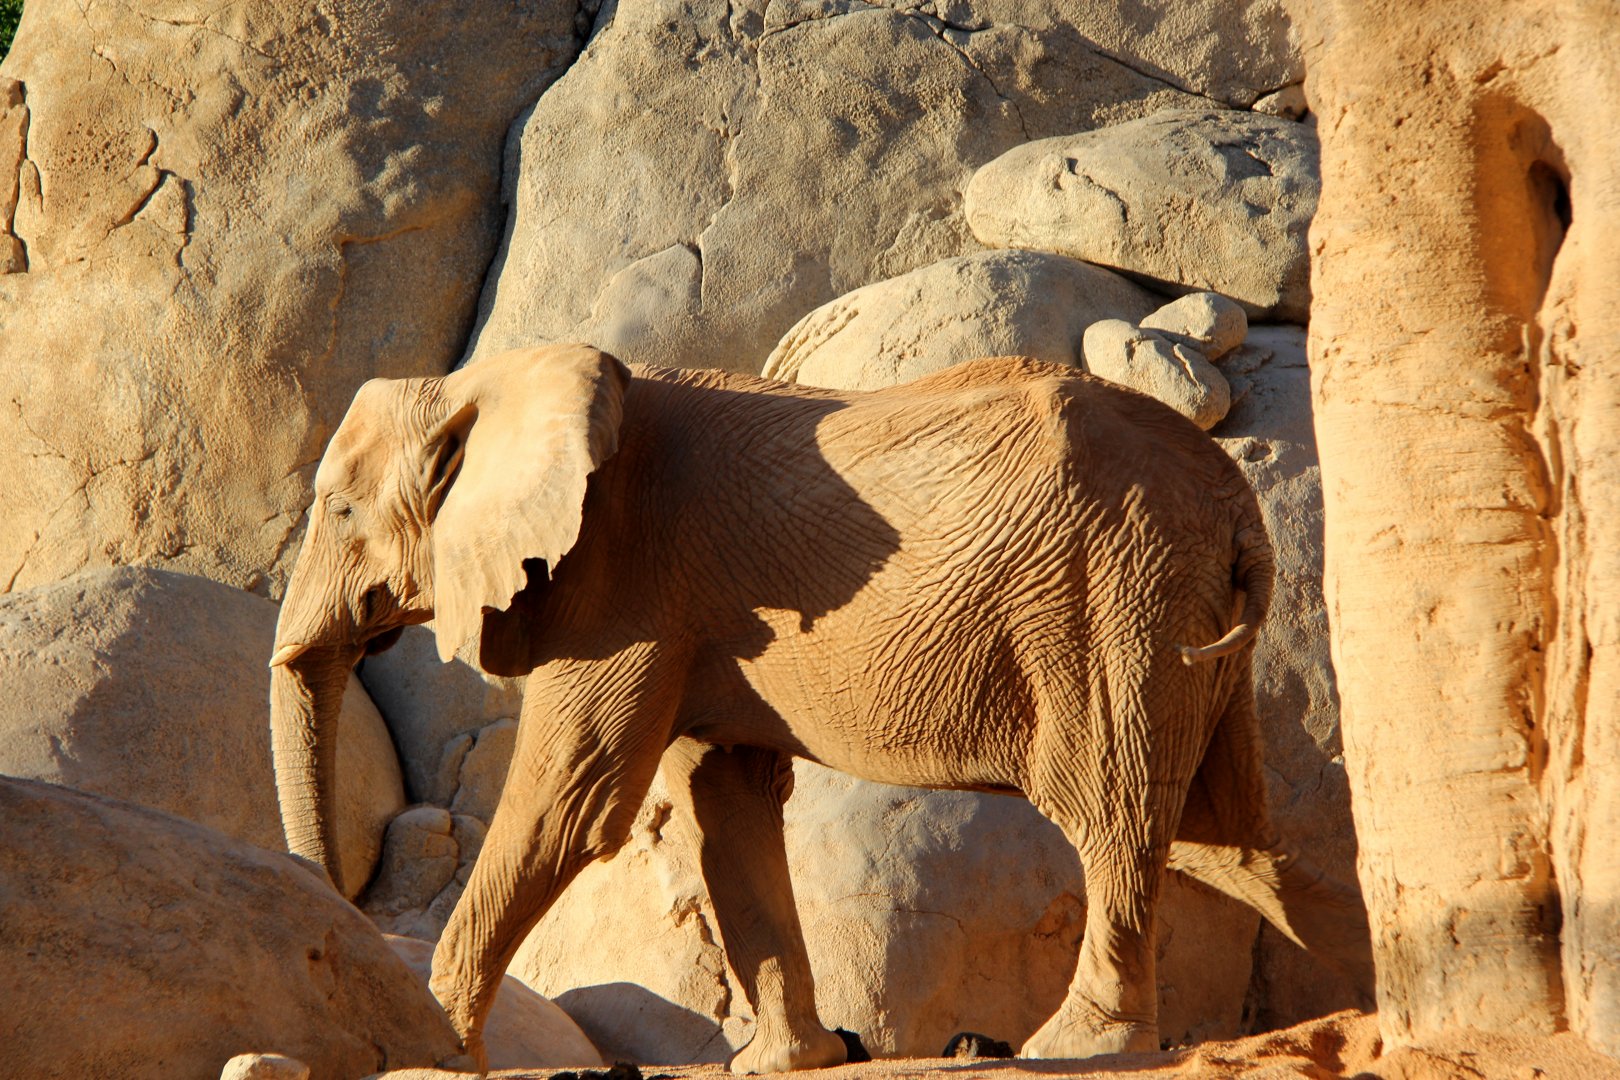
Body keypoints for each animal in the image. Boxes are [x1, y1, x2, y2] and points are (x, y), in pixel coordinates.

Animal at [269, 343, 1373, 1073]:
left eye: (340, 510)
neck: (492, 378)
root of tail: (1238, 509)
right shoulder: (684, 613)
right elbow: (723, 805)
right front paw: (785, 1063)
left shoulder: (619, 585)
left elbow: (568, 806)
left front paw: (433, 1047)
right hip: (1179, 616)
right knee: (1232, 838)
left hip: (1113, 602)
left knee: (1116, 816)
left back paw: (1071, 1045)